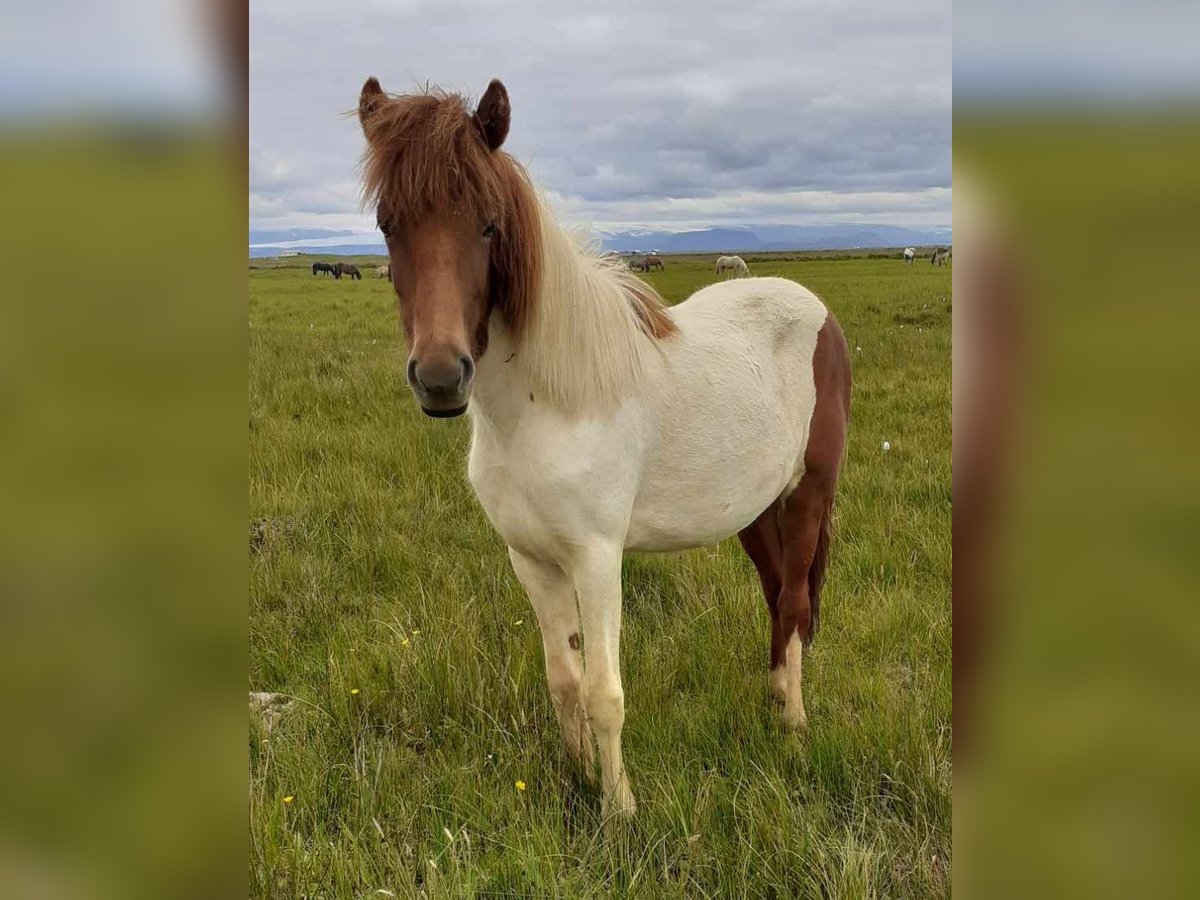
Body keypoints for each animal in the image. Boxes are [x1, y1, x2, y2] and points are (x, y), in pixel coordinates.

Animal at [355, 77, 854, 820]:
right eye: (389, 224)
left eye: (488, 224)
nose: (441, 377)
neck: (545, 405)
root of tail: (818, 312)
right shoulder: (531, 559)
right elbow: (563, 678)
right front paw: (576, 780)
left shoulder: (597, 558)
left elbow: (603, 691)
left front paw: (619, 811)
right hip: (755, 508)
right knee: (776, 598)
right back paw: (773, 705)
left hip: (809, 494)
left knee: (794, 603)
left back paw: (792, 729)